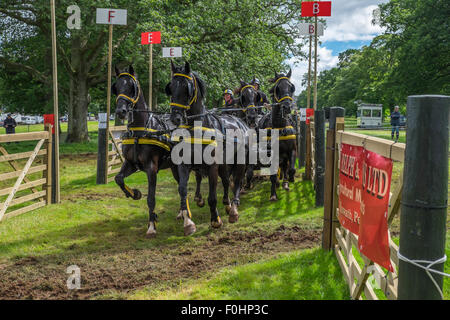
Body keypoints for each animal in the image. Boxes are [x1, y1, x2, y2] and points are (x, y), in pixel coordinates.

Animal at [167, 61, 250, 235]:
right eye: (170, 87)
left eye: (187, 87)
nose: (175, 118)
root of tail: (239, 121)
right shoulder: (184, 165)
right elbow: (182, 190)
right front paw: (188, 222)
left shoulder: (212, 166)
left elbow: (212, 197)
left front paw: (215, 220)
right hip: (224, 163)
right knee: (225, 180)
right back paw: (227, 203)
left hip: (239, 162)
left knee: (237, 181)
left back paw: (234, 209)